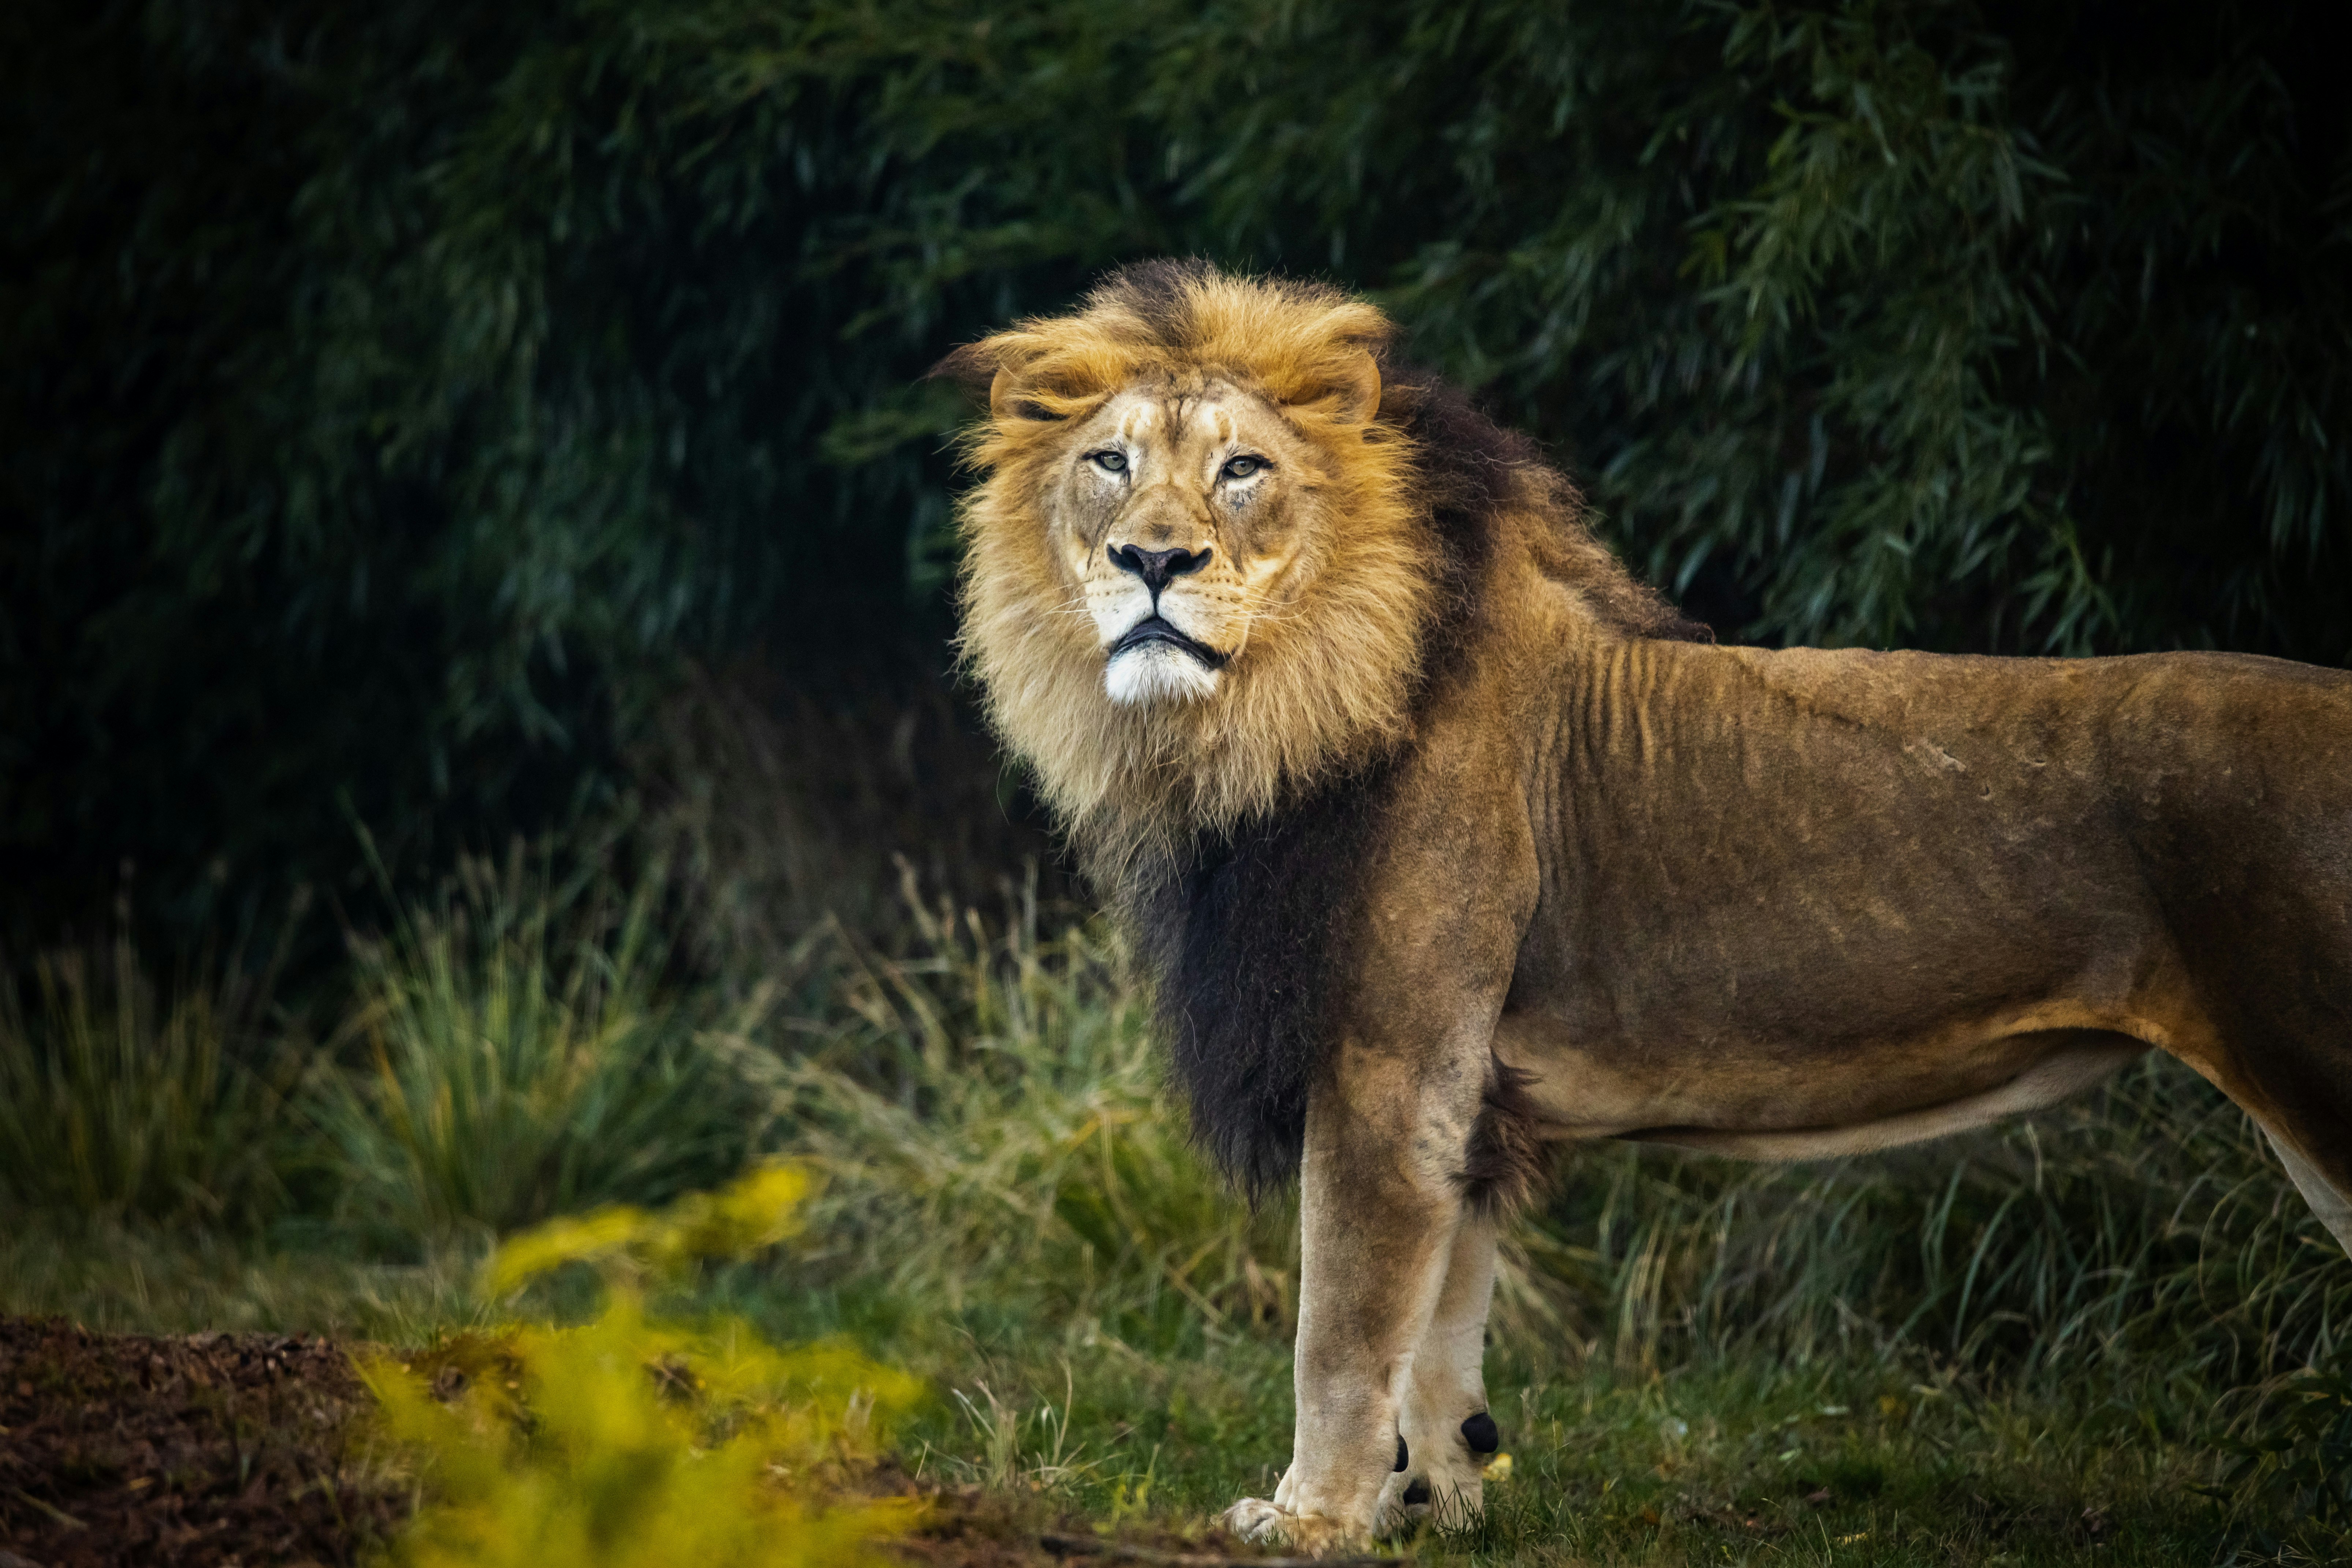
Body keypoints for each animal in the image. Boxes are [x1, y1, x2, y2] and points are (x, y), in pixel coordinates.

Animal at [937, 260, 2352, 1551]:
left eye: (1240, 471)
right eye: (1110, 462)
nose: (1153, 560)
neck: (1267, 706)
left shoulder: (1389, 1070)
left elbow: (1339, 1327)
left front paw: (1306, 1517)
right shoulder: (1459, 1098)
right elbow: (1440, 1322)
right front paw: (1430, 1498)